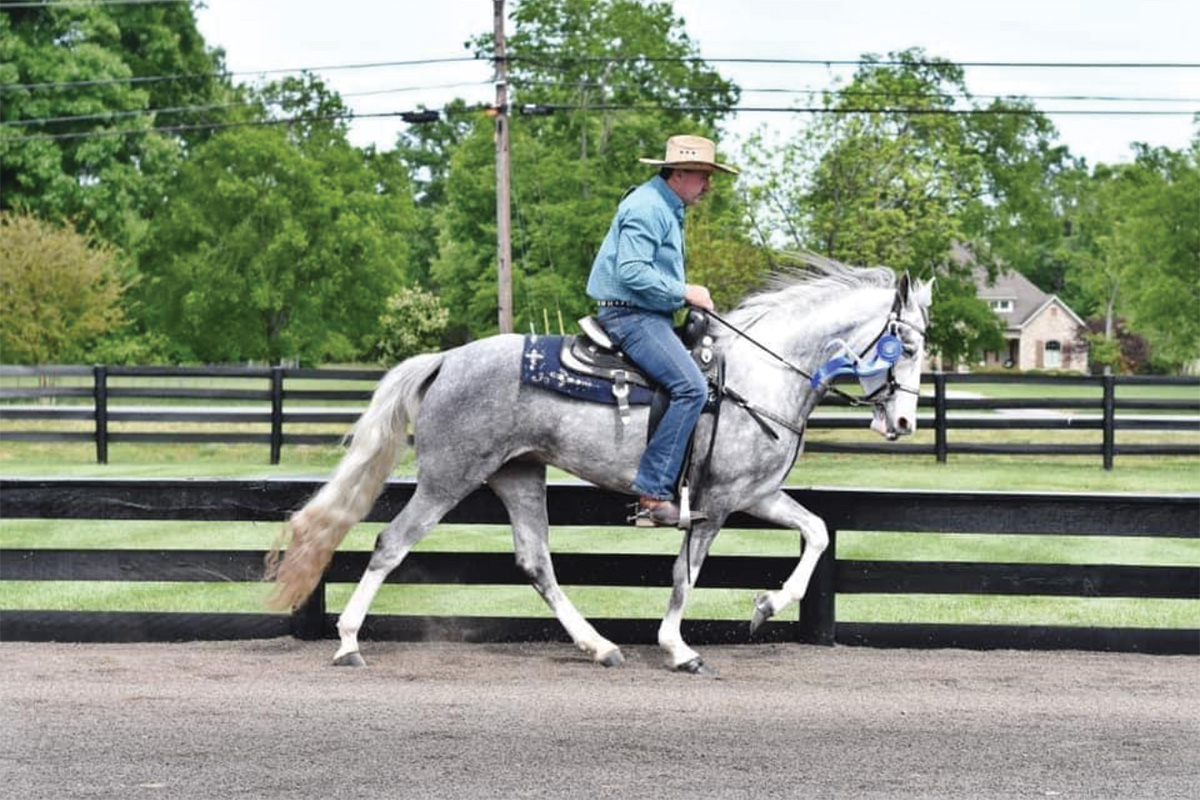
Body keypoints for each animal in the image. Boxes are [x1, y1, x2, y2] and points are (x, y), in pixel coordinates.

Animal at [267, 256, 931, 676]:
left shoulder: (755, 494)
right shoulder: (714, 505)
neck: (759, 375)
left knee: (536, 563)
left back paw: (600, 646)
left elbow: (817, 533)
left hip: (519, 475)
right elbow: (685, 575)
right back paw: (348, 643)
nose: (902, 422)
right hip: (447, 479)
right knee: (390, 544)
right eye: (909, 344)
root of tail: (447, 359)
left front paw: (768, 606)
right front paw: (678, 648)